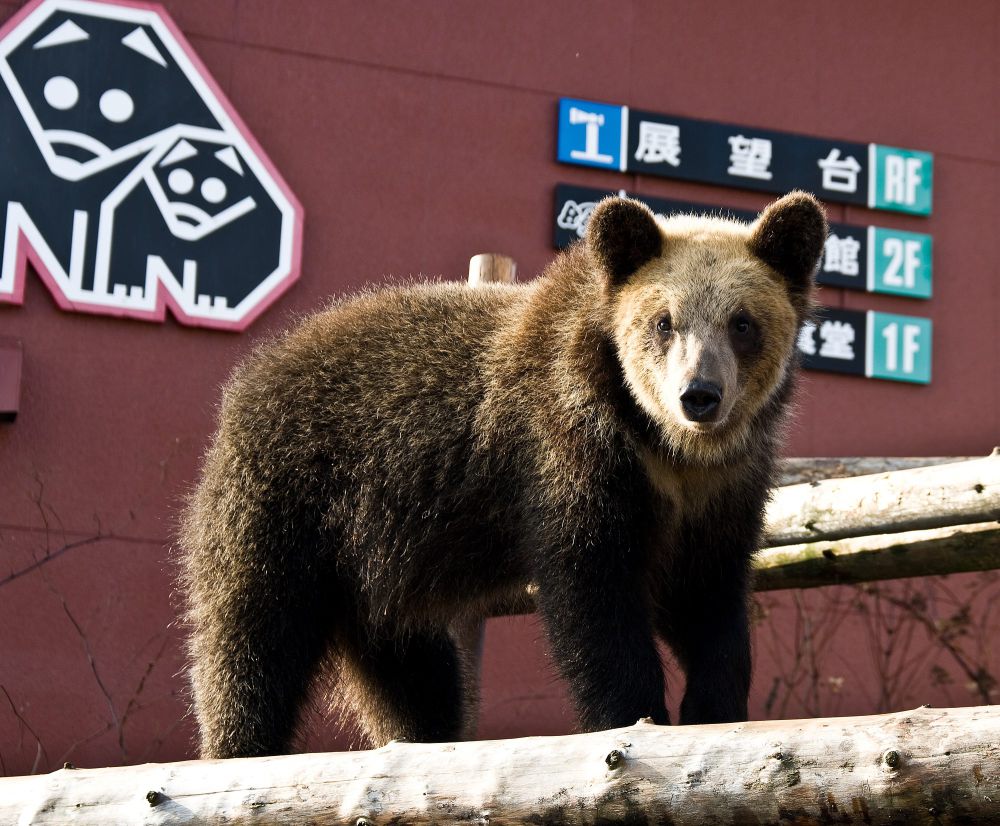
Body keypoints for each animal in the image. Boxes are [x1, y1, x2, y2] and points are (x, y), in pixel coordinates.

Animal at [182, 190, 828, 756]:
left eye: (742, 322)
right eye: (664, 322)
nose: (699, 395)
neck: (661, 447)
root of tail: (253, 372)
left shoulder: (719, 496)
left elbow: (707, 599)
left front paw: (714, 706)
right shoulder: (569, 456)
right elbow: (595, 599)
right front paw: (634, 714)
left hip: (377, 570)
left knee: (415, 675)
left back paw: (422, 737)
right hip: (289, 501)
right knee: (253, 638)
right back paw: (241, 746)